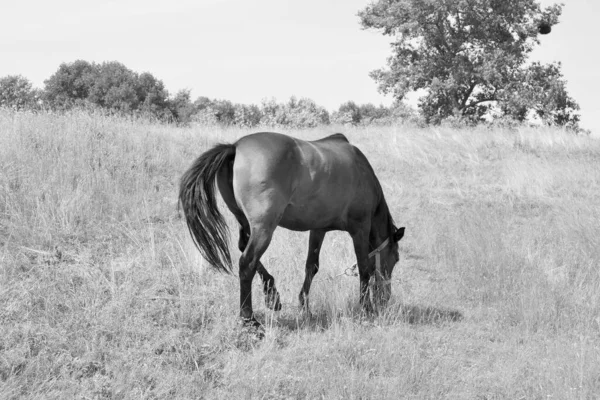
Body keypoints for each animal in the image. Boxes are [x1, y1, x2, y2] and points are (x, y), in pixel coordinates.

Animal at [177, 131, 404, 324]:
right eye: (395, 258)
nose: (385, 298)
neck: (363, 172)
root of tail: (235, 147)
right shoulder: (360, 229)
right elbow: (365, 267)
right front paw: (367, 309)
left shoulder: (318, 229)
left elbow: (312, 266)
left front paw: (305, 308)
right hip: (264, 229)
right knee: (247, 263)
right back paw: (249, 318)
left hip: (246, 223)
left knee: (244, 249)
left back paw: (272, 294)